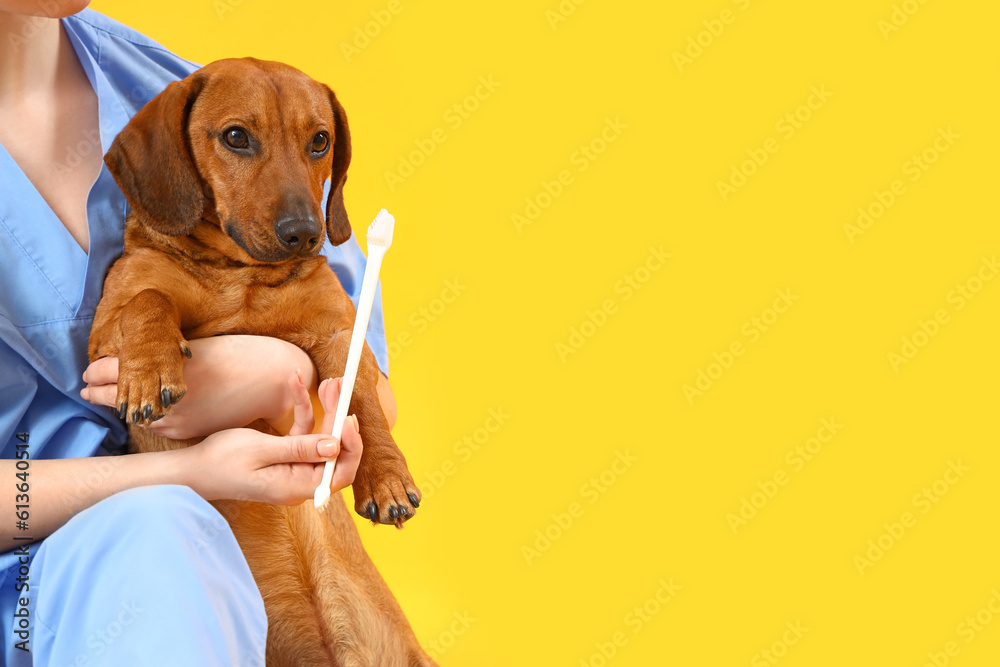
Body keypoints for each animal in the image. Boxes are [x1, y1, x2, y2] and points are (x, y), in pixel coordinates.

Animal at [89, 58, 438, 667]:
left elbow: (362, 399)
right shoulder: (101, 338)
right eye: (236, 137)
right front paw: (151, 369)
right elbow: (147, 300)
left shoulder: (341, 334)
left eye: (320, 140)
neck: (241, 276)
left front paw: (387, 475)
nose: (305, 233)